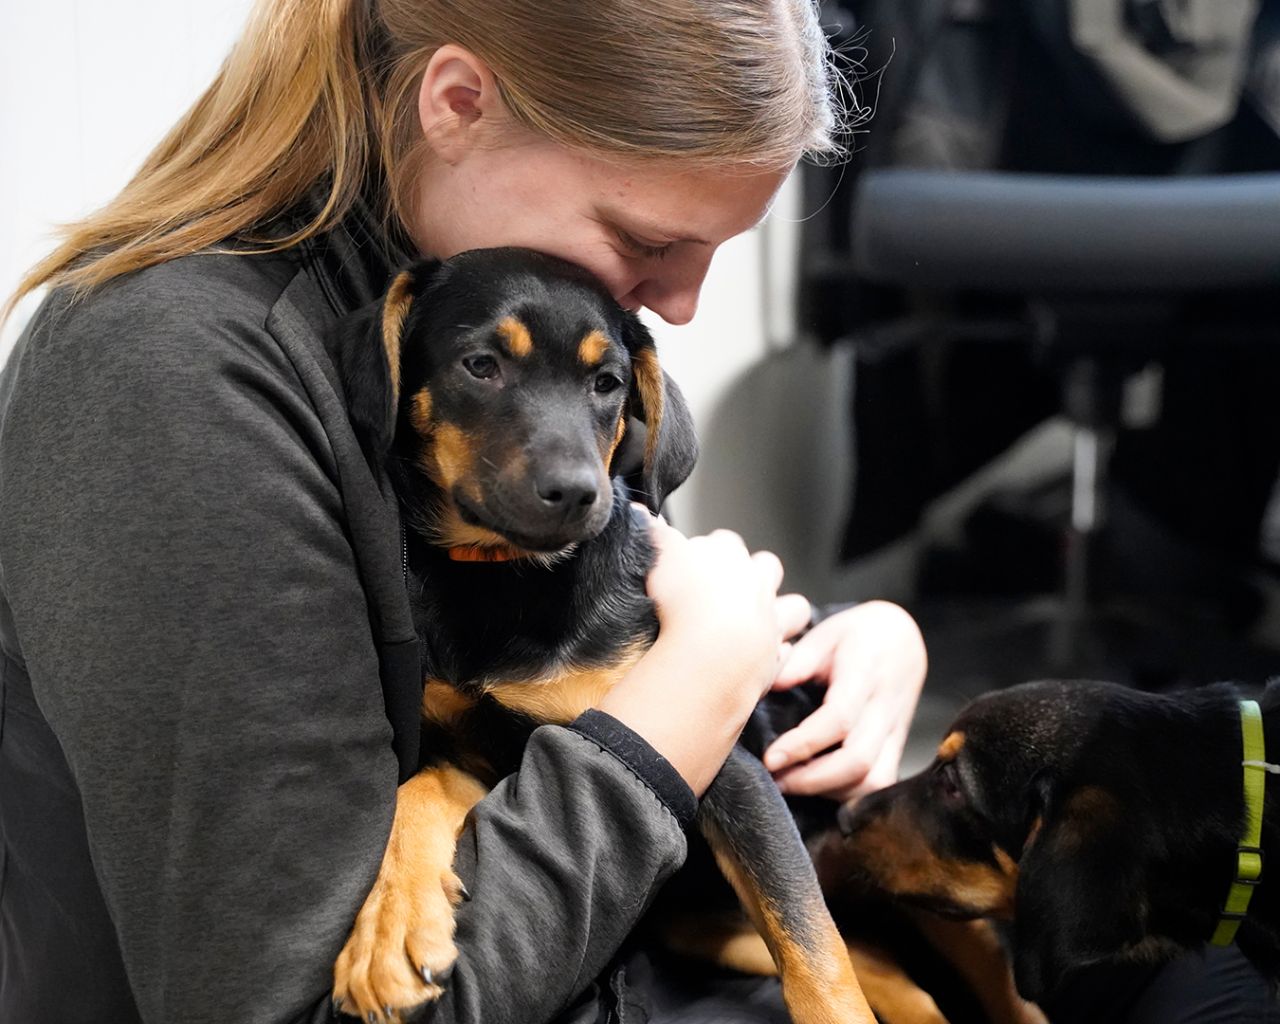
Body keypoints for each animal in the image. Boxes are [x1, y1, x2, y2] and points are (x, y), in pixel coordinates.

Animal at [325, 249, 875, 1024]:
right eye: (480, 365)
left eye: (607, 384)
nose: (579, 494)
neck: (508, 580)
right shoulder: (475, 753)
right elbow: (416, 793)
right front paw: (390, 932)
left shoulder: (735, 768)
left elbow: (813, 950)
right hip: (703, 925)